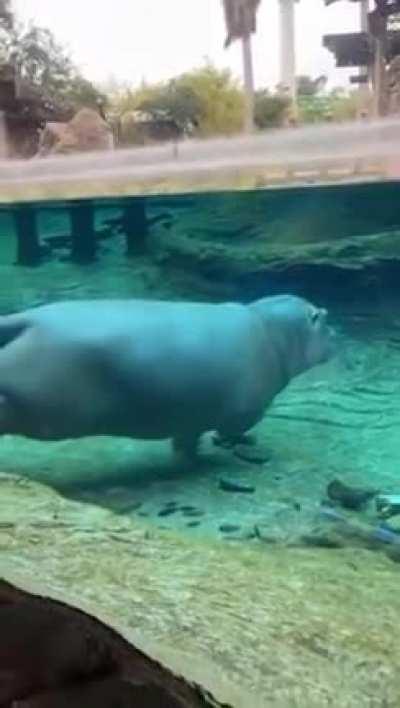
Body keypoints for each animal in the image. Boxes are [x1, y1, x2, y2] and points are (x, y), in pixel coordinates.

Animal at [0, 295, 335, 461]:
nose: (336, 333)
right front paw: (233, 443)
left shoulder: (191, 414)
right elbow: (231, 429)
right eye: (323, 317)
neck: (273, 329)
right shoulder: (245, 411)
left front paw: (188, 454)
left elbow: (187, 437)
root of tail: (30, 318)